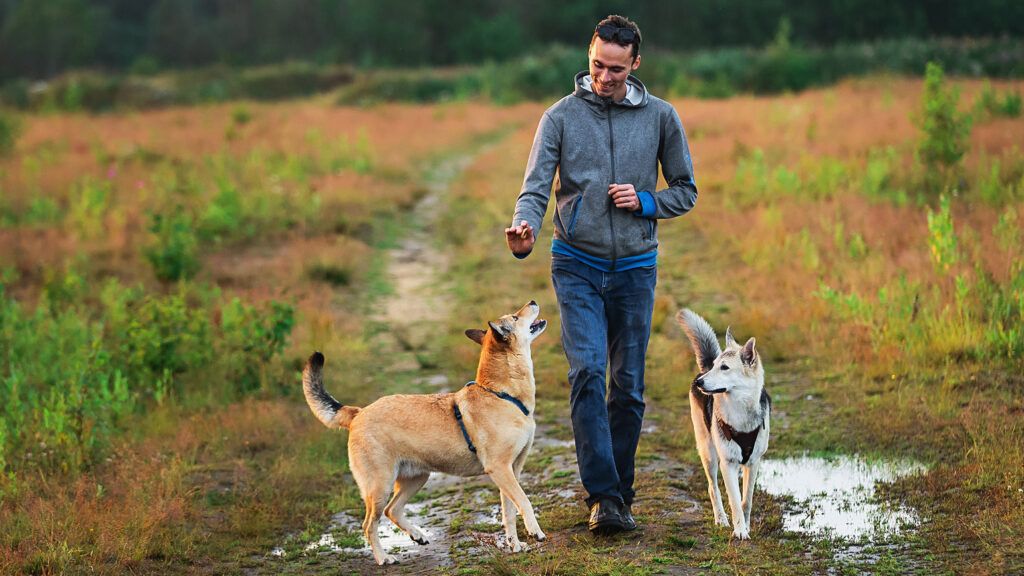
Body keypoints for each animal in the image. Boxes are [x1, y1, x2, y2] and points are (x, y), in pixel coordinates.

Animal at [301, 301, 548, 565]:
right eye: (515, 316)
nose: (532, 302)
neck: (502, 394)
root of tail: (358, 413)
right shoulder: (499, 468)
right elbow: (524, 501)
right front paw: (535, 531)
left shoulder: (512, 470)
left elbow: (510, 511)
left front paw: (515, 545)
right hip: (380, 486)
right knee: (369, 524)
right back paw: (383, 558)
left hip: (417, 478)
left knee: (392, 510)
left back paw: (417, 536)